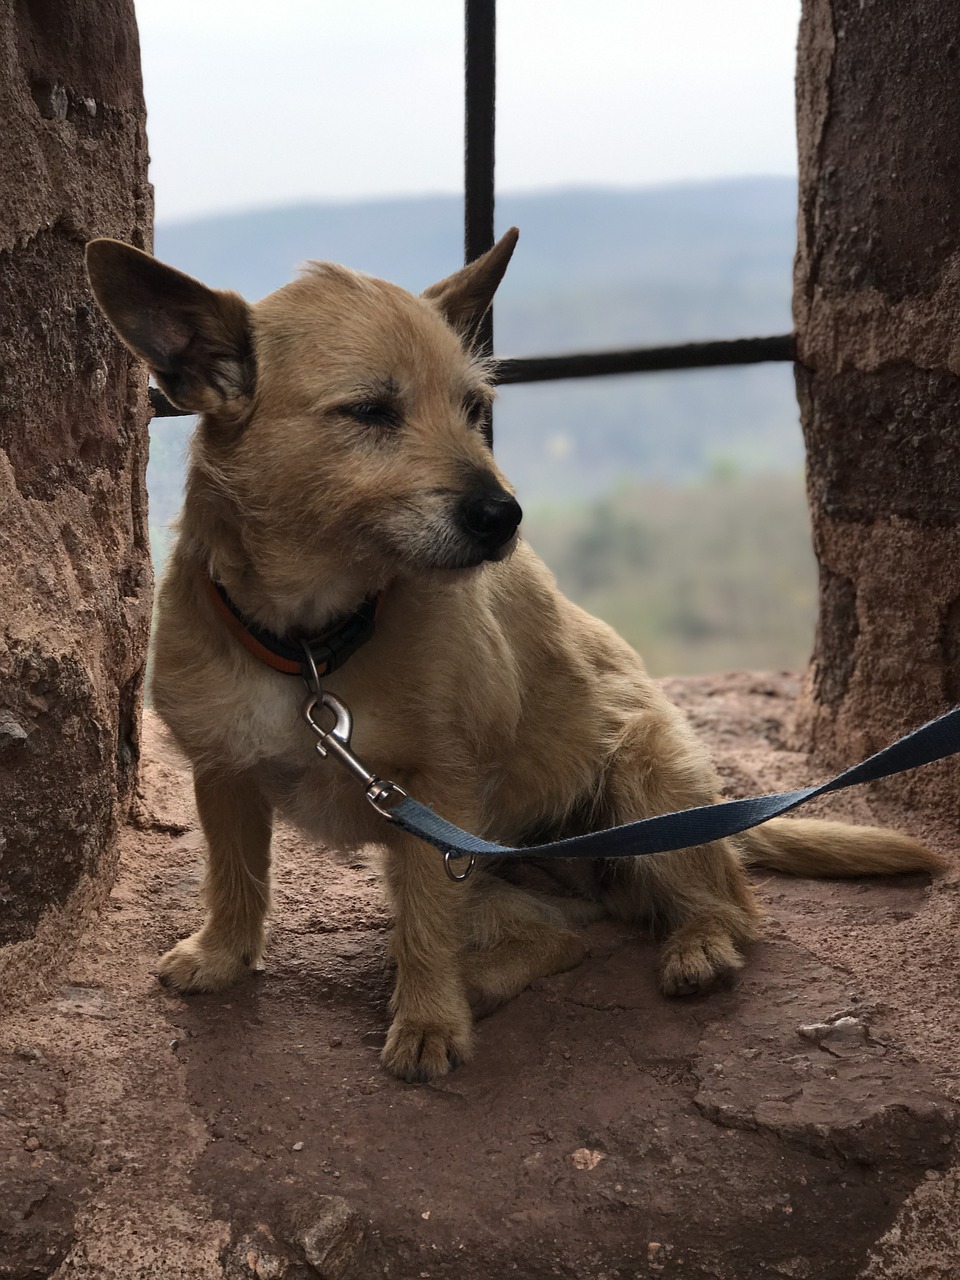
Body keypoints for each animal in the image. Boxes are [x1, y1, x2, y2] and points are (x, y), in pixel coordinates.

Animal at [84, 232, 947, 1080]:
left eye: (474, 408)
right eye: (370, 411)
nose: (505, 517)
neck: (309, 644)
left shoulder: (437, 794)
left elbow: (422, 930)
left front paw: (429, 1021)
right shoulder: (224, 773)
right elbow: (235, 878)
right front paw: (224, 956)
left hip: (641, 776)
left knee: (732, 905)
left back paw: (694, 946)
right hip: (483, 875)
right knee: (560, 940)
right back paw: (488, 979)